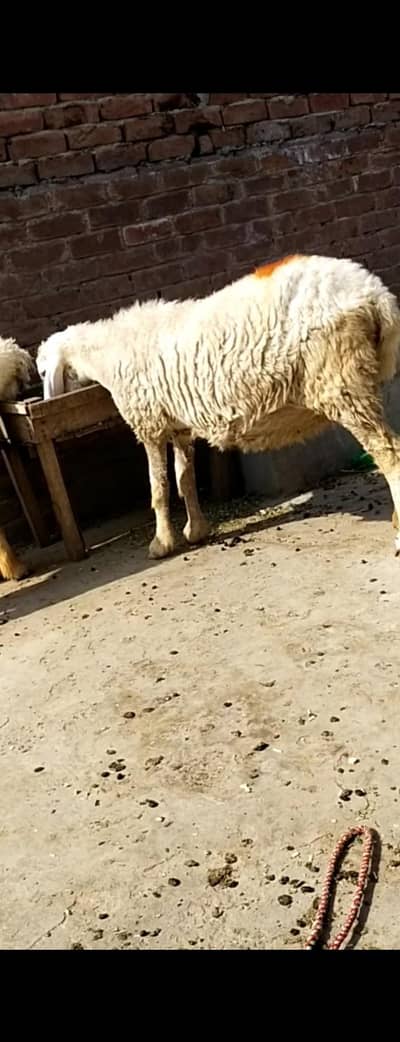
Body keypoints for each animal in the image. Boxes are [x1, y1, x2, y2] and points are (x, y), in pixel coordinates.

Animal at [36, 253, 400, 560]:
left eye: (42, 371)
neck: (108, 354)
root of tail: (375, 295)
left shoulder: (149, 423)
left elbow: (159, 487)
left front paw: (161, 544)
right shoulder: (179, 426)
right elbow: (184, 479)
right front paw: (195, 531)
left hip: (341, 383)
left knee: (389, 454)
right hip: (362, 378)